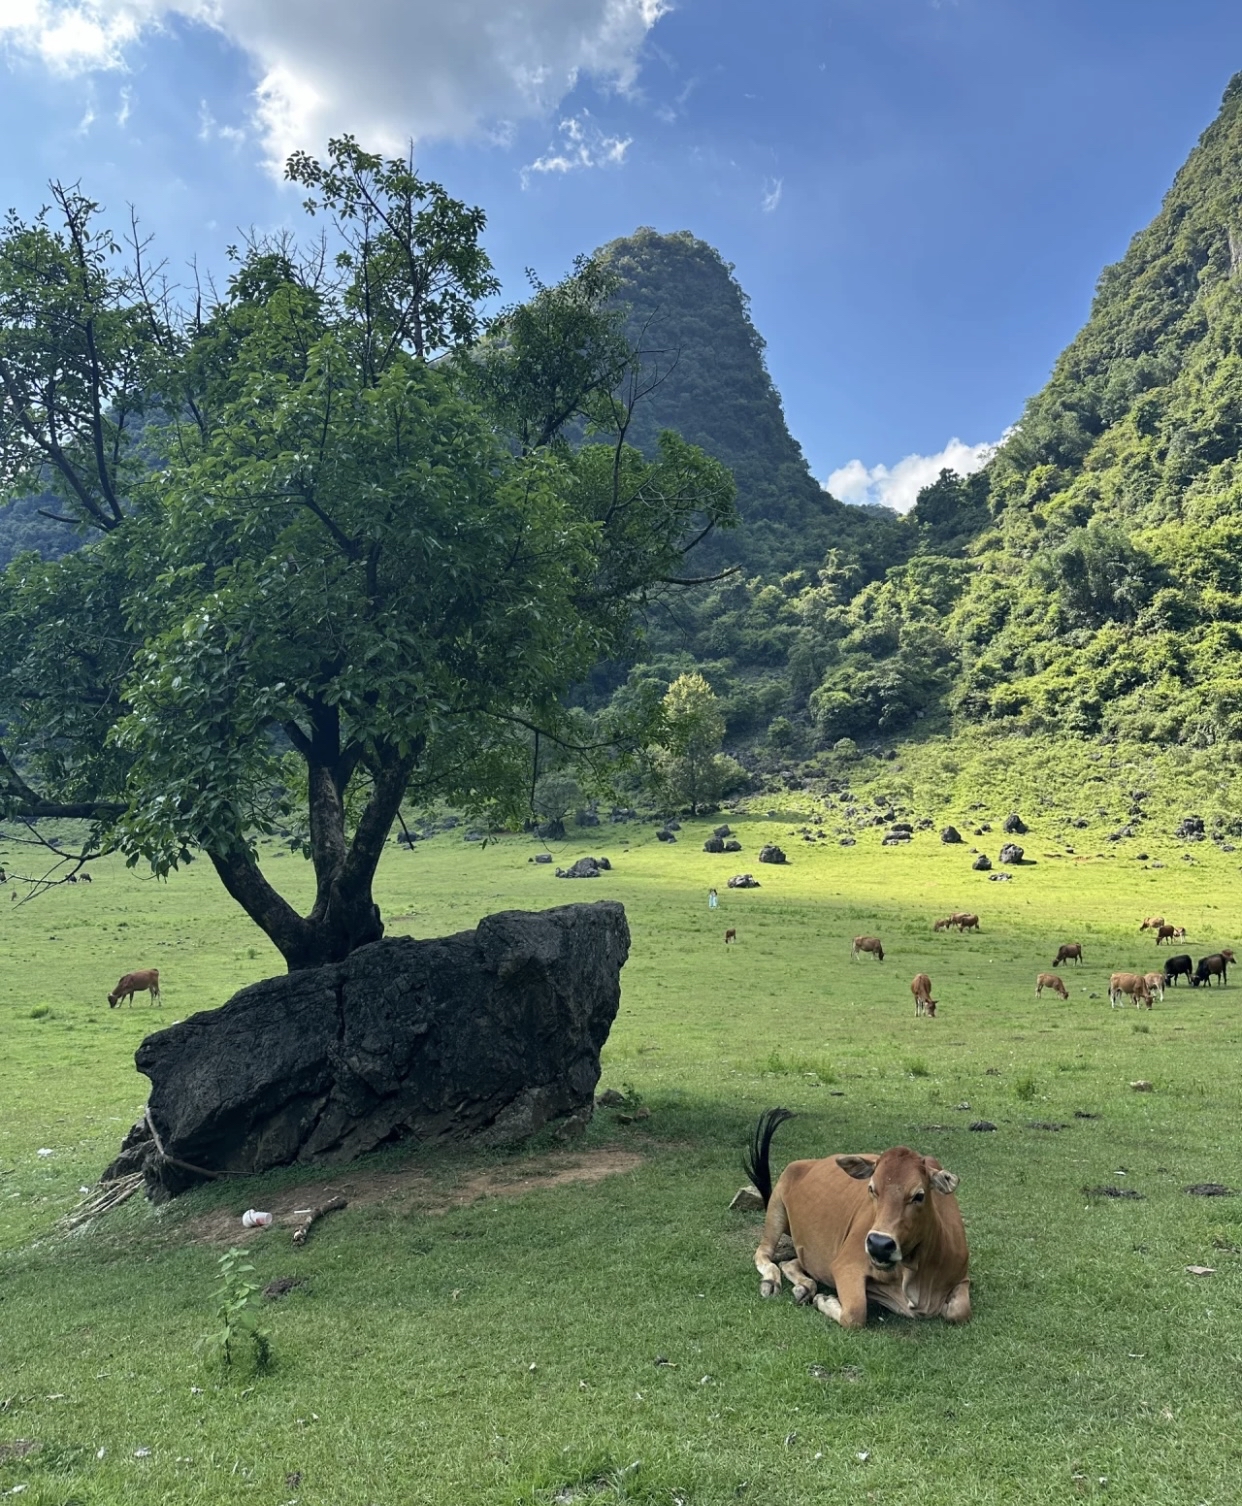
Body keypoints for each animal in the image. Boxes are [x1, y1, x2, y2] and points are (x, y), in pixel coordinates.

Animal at [740, 1108, 975, 1331]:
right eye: (871, 1188)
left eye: (919, 1195)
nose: (879, 1244)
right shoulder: (845, 1265)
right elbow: (855, 1313)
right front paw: (826, 1300)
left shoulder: (962, 1277)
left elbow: (960, 1312)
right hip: (776, 1208)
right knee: (764, 1254)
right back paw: (772, 1281)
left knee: (790, 1262)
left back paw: (804, 1286)